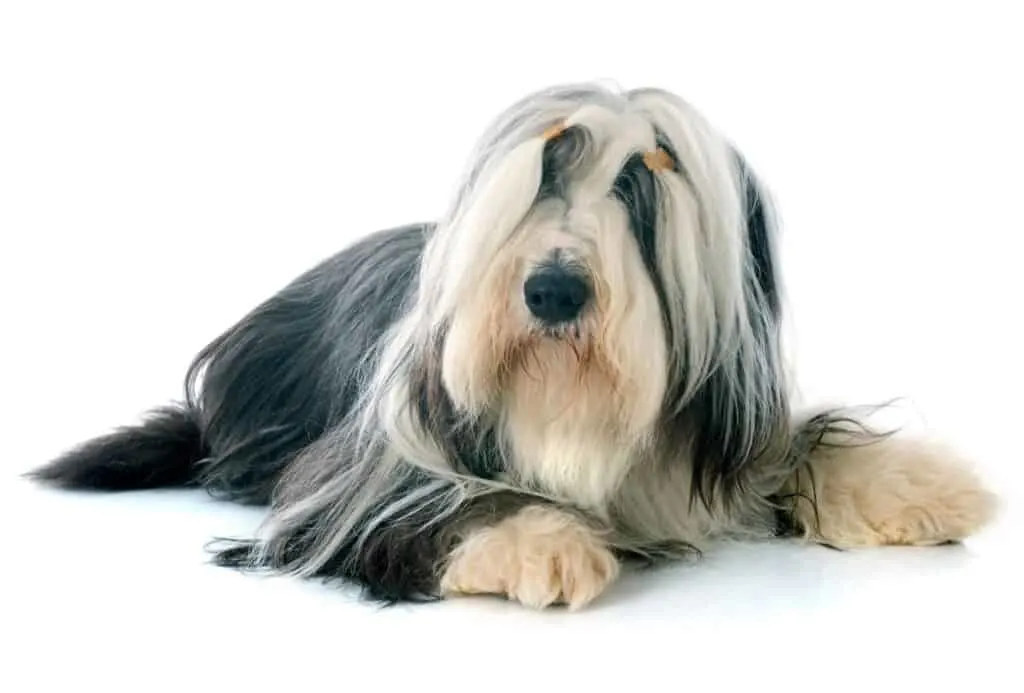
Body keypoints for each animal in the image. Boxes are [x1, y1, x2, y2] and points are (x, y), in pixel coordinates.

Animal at [32, 83, 999, 610]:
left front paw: (920, 486)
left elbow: (798, 439)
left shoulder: (731, 422)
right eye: (542, 175)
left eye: (640, 182)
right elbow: (438, 499)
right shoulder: (356, 478)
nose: (554, 290)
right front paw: (537, 537)